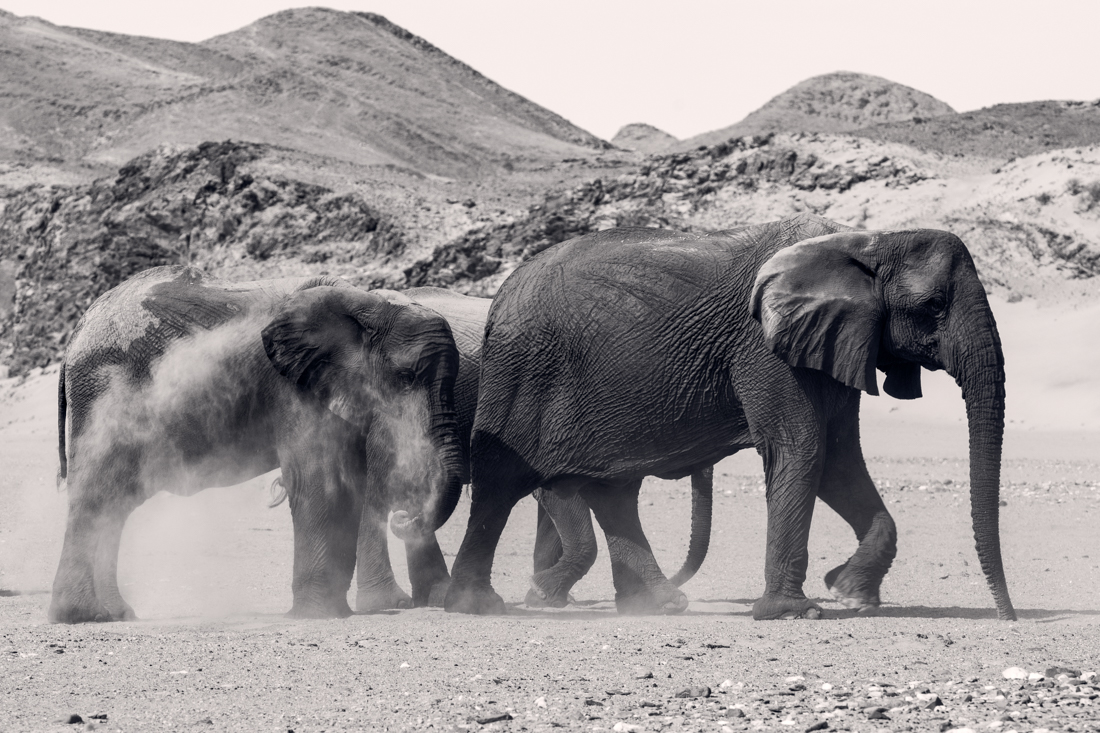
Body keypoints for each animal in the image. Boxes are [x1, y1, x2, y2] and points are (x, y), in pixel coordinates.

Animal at [50, 266, 467, 623]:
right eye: (407, 377)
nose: (404, 516)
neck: (367, 304)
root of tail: (75, 337)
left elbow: (348, 482)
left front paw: (335, 612)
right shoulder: (293, 387)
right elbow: (319, 481)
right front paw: (318, 616)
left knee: (115, 503)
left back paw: (116, 614)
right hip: (103, 389)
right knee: (98, 494)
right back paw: (83, 616)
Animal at [443, 213, 1016, 621]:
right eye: (932, 306)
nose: (1008, 618)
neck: (865, 240)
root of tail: (499, 294)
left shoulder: (831, 339)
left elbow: (837, 459)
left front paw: (851, 592)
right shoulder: (763, 345)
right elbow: (801, 447)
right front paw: (795, 613)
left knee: (613, 490)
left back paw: (655, 606)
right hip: (521, 370)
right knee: (500, 481)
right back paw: (476, 605)